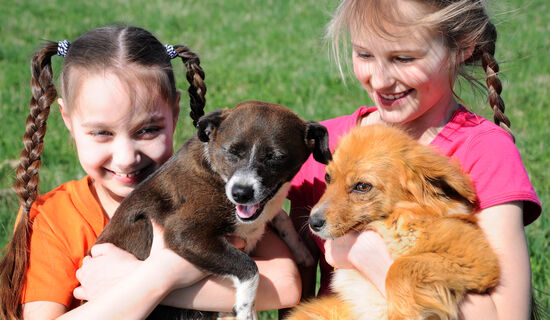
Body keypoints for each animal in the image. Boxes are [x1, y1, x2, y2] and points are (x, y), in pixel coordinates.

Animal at [95, 100, 332, 320]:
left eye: (275, 157)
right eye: (231, 152)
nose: (241, 193)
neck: (217, 174)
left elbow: (280, 217)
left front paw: (301, 250)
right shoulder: (184, 233)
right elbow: (250, 267)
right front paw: (246, 309)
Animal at [288, 125, 500, 320]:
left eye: (362, 186)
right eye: (328, 177)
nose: (313, 222)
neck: (396, 221)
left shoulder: (475, 259)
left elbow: (400, 267)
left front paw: (402, 313)